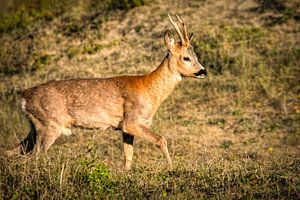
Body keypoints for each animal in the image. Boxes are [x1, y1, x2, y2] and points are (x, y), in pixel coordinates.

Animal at [7, 14, 206, 170]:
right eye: (186, 58)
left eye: (196, 56)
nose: (203, 71)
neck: (149, 89)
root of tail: (24, 98)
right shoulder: (132, 120)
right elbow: (161, 139)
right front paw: (171, 168)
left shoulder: (125, 128)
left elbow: (128, 157)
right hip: (50, 124)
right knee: (34, 156)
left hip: (35, 127)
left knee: (13, 151)